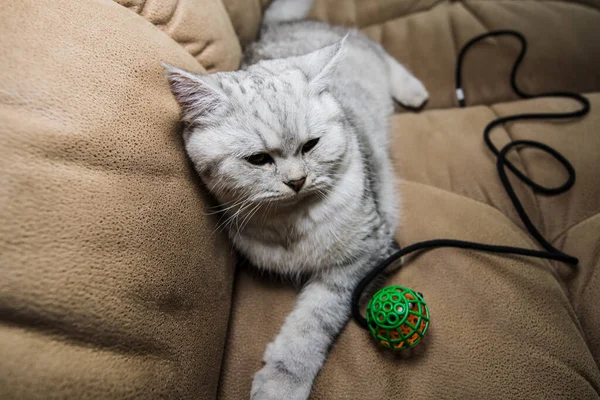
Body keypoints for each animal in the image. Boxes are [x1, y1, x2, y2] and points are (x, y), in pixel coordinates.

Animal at [164, 1, 426, 398]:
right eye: (258, 159)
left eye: (311, 145)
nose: (296, 180)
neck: (291, 223)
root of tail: (277, 27)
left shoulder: (364, 256)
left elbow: (312, 322)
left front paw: (283, 379)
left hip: (362, 51)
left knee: (378, 49)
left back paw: (412, 89)